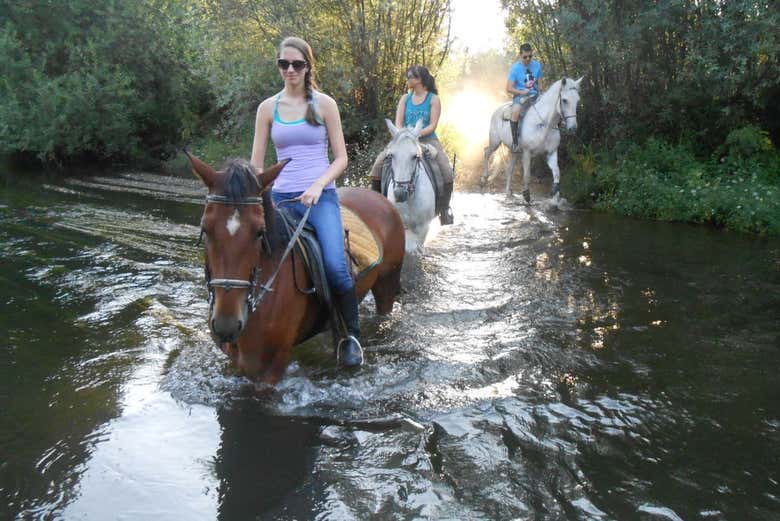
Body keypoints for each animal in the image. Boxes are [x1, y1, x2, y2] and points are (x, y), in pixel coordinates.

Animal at [189, 152, 406, 384]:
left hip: (386, 285)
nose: (226, 324)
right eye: (205, 229)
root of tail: (380, 199)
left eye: (259, 232)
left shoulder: (272, 367)